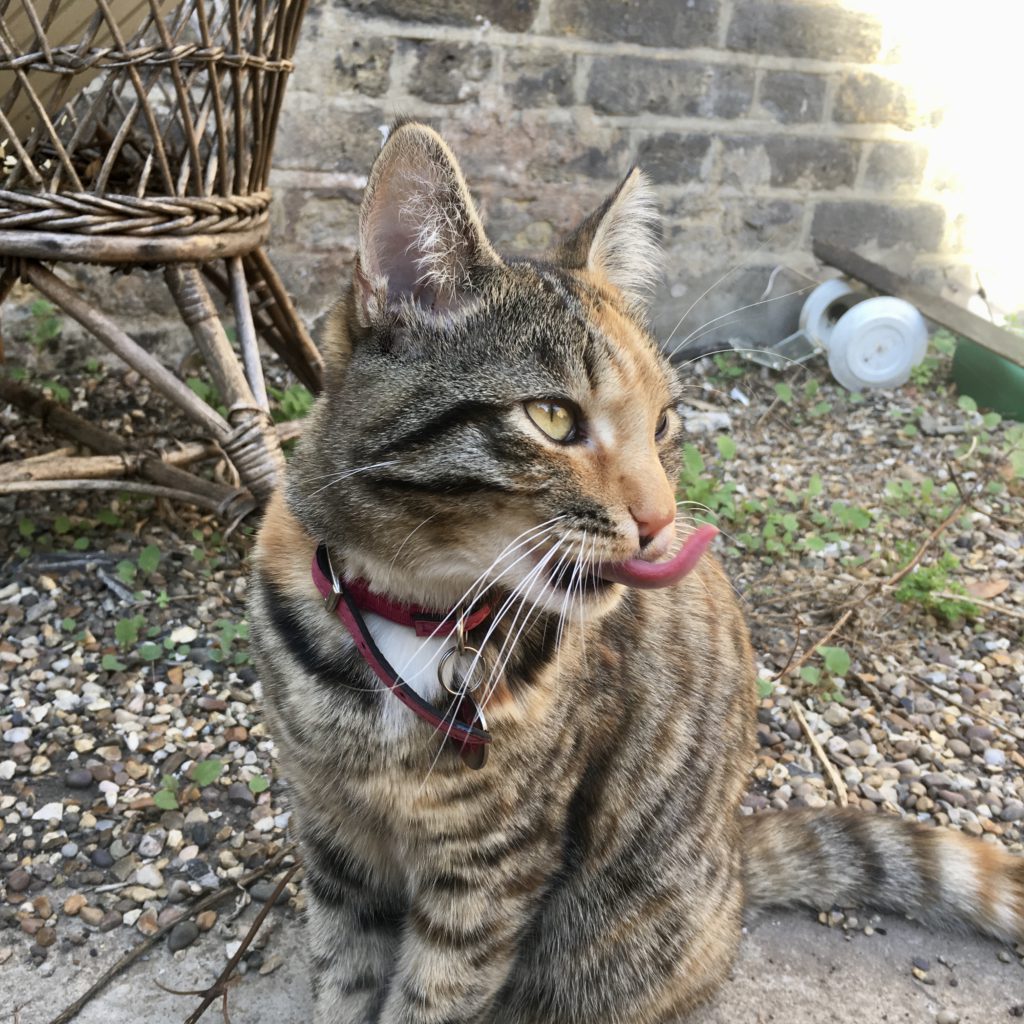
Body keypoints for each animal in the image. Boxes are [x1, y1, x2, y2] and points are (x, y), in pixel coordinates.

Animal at [249, 121, 1024, 1024]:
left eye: (664, 422)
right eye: (552, 417)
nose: (660, 519)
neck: (415, 612)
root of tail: (733, 866)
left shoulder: (490, 873)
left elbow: (431, 1000)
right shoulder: (332, 836)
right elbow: (344, 981)